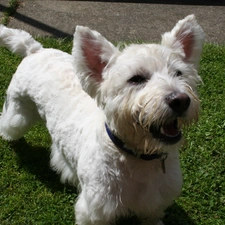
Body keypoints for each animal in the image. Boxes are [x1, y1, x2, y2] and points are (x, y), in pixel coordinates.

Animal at [0, 14, 204, 225]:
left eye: (179, 73)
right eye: (136, 79)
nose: (180, 100)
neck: (139, 158)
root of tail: (35, 49)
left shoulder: (154, 204)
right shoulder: (96, 211)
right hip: (18, 113)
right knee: (7, 123)